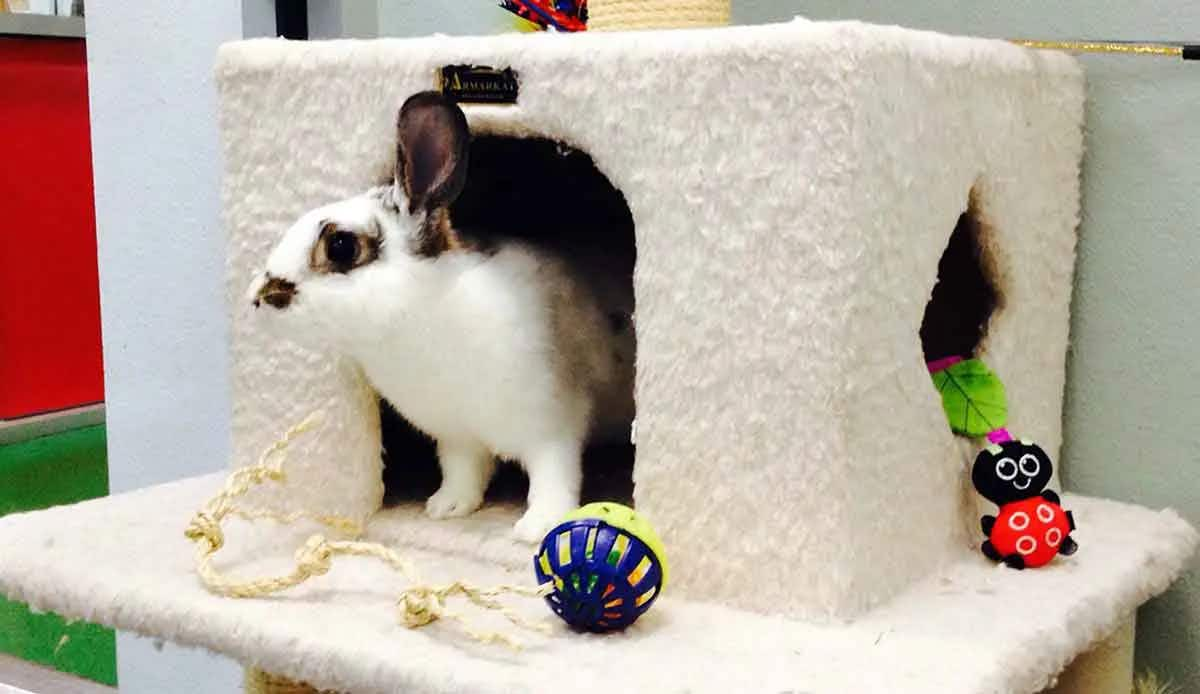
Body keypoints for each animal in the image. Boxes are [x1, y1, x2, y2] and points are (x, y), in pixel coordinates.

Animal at [247, 90, 633, 540]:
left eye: (341, 246)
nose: (258, 298)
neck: (421, 313)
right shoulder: (457, 437)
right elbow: (461, 473)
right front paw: (445, 508)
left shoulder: (553, 426)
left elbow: (553, 476)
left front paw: (536, 527)